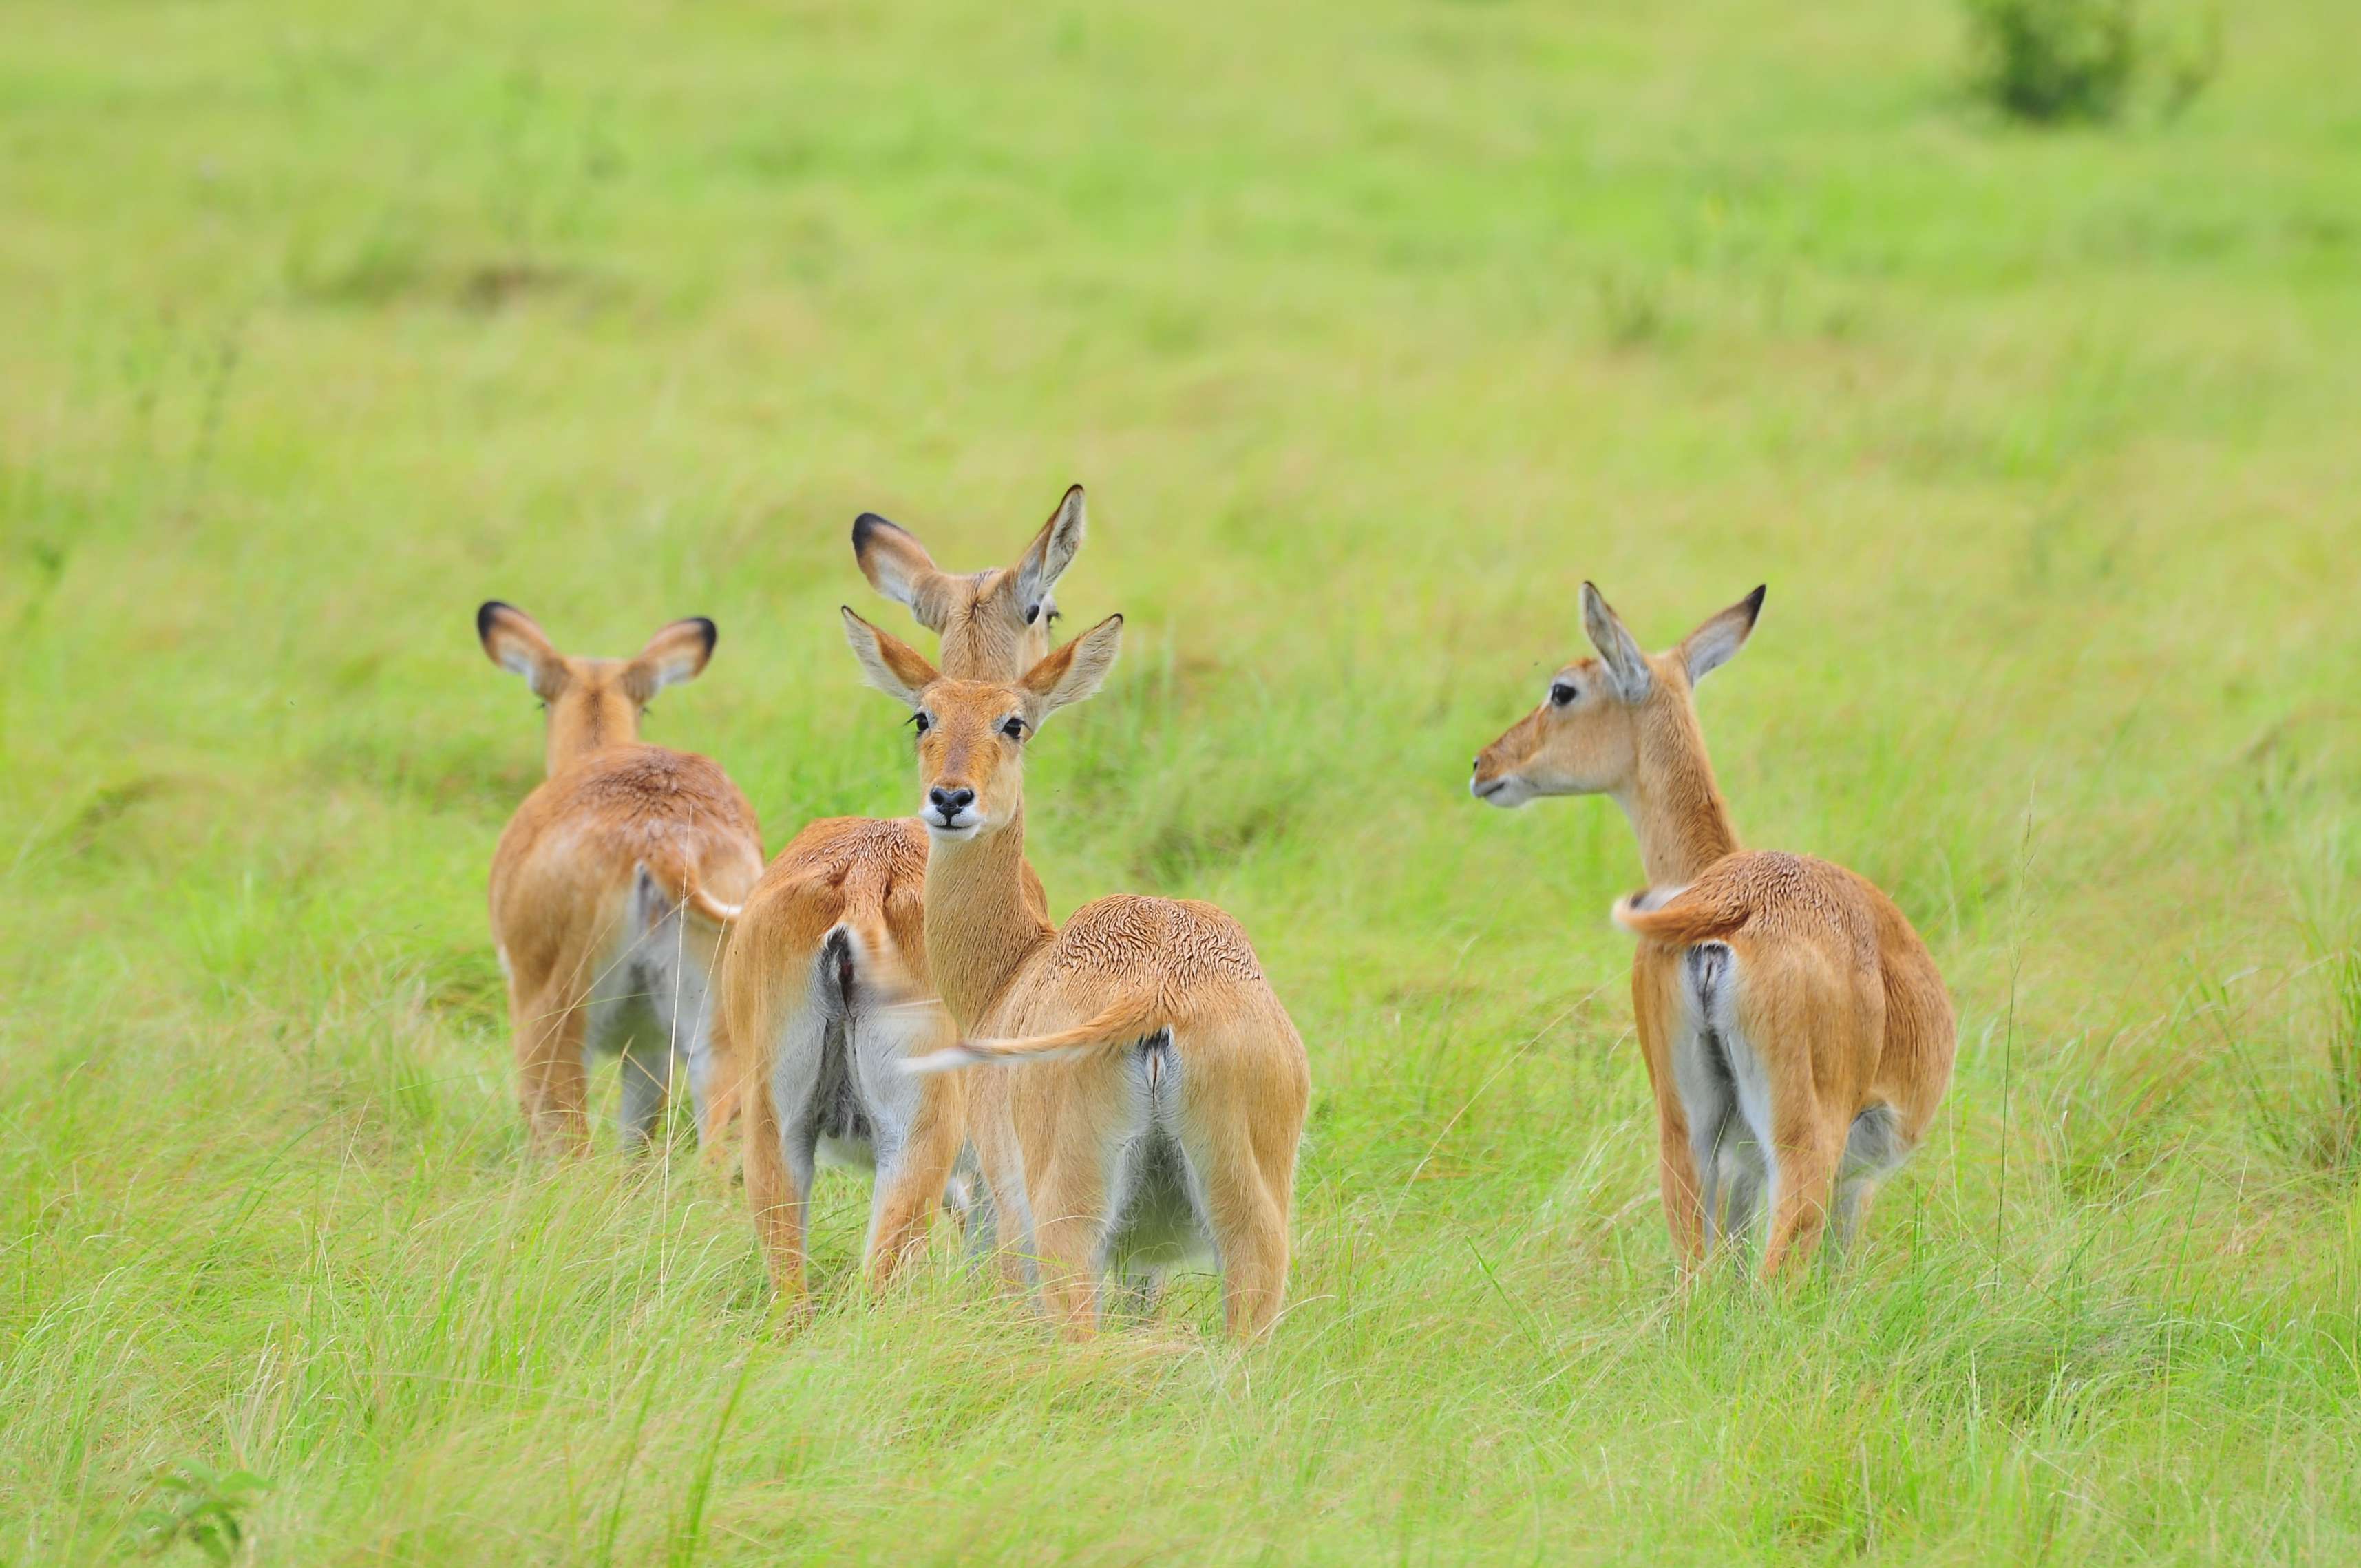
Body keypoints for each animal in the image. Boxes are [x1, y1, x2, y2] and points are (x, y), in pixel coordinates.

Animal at [481, 600, 765, 1152]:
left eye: (541, 702)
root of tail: (664, 845)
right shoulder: (650, 1044)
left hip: (552, 1025)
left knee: (568, 1142)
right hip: (712, 1038)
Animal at [836, 604, 1313, 1341]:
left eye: (1013, 721)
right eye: (924, 716)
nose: (951, 798)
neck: (1012, 970)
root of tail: (1161, 993)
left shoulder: (1004, 1209)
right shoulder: (1144, 1265)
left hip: (1065, 1218)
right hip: (1252, 1230)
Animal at [1473, 585, 1955, 1275]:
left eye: (1562, 690)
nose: (1485, 764)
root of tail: (1734, 904)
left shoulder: (1739, 1167)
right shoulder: (1850, 1184)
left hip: (1687, 1134)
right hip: (1800, 1147)